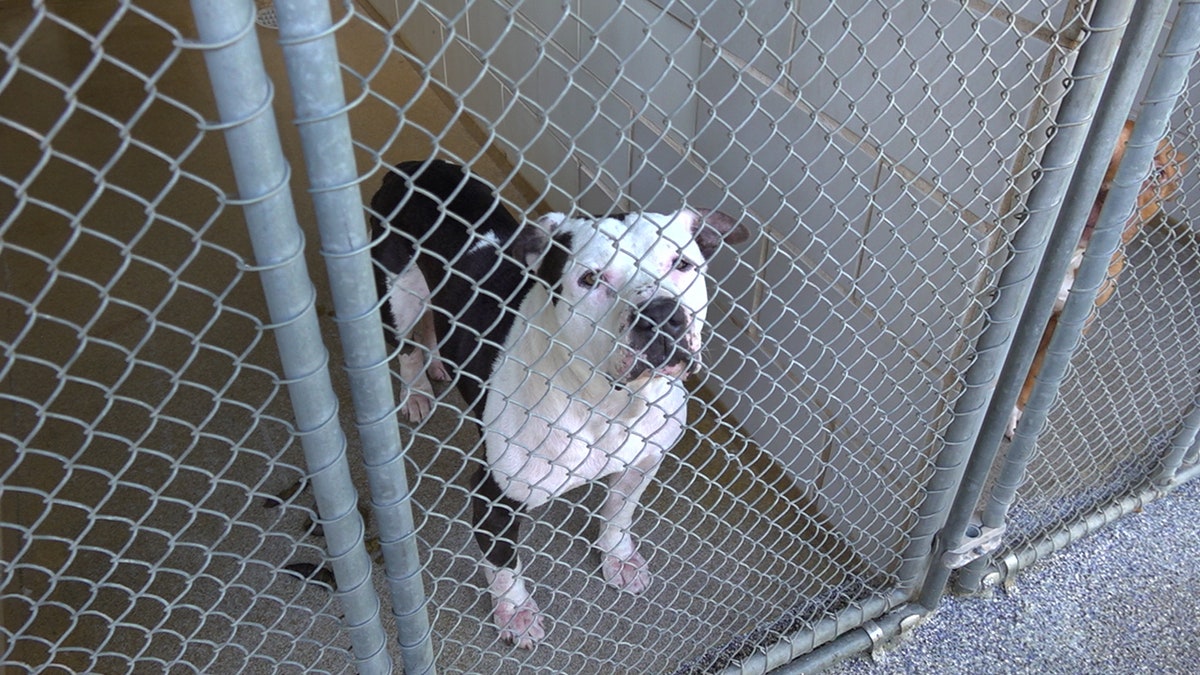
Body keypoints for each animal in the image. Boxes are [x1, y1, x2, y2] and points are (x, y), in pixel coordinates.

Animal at [369, 158, 753, 648]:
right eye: (590, 279)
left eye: (682, 263)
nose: (662, 314)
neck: (608, 404)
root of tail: (410, 167)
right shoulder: (494, 496)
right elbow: (504, 566)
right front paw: (516, 613)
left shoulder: (644, 461)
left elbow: (619, 515)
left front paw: (617, 558)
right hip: (396, 294)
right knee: (405, 345)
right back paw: (416, 391)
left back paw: (440, 364)